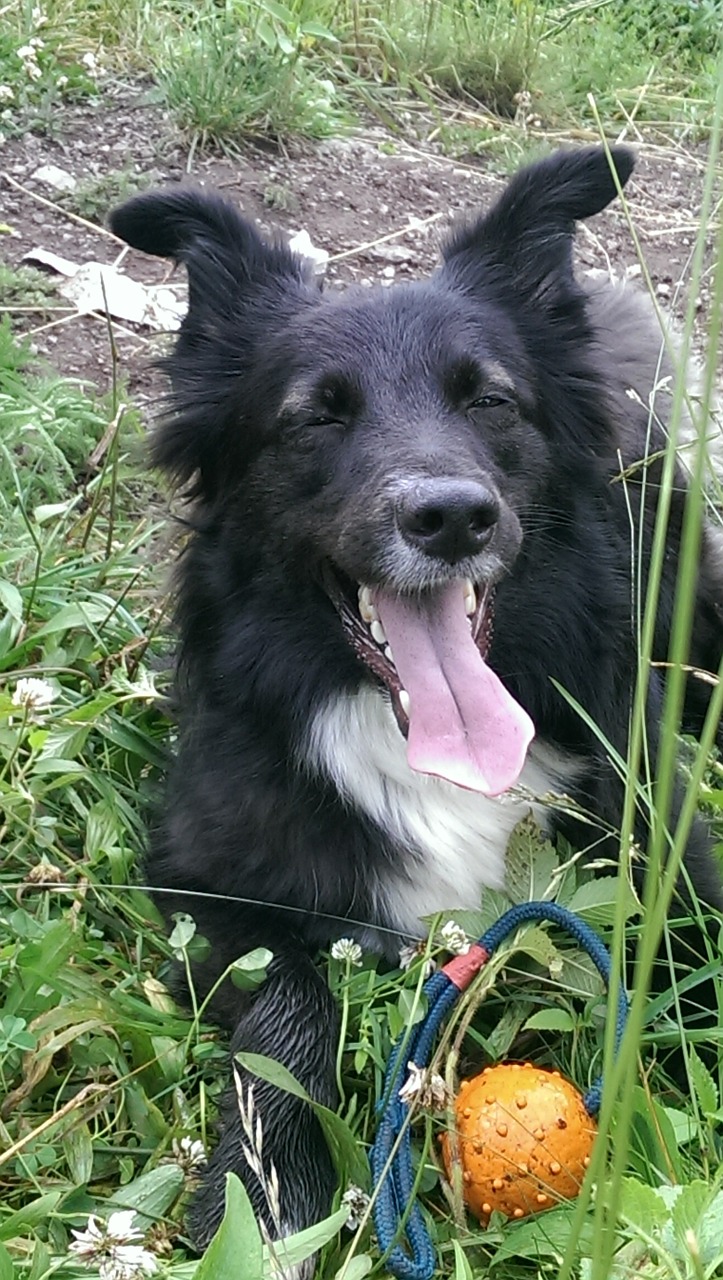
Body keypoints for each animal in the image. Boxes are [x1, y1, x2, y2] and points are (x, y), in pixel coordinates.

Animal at [110, 149, 716, 1259]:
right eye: (315, 414)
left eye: (492, 402)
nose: (452, 518)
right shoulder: (207, 884)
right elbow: (289, 1009)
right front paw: (265, 1201)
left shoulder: (669, 865)